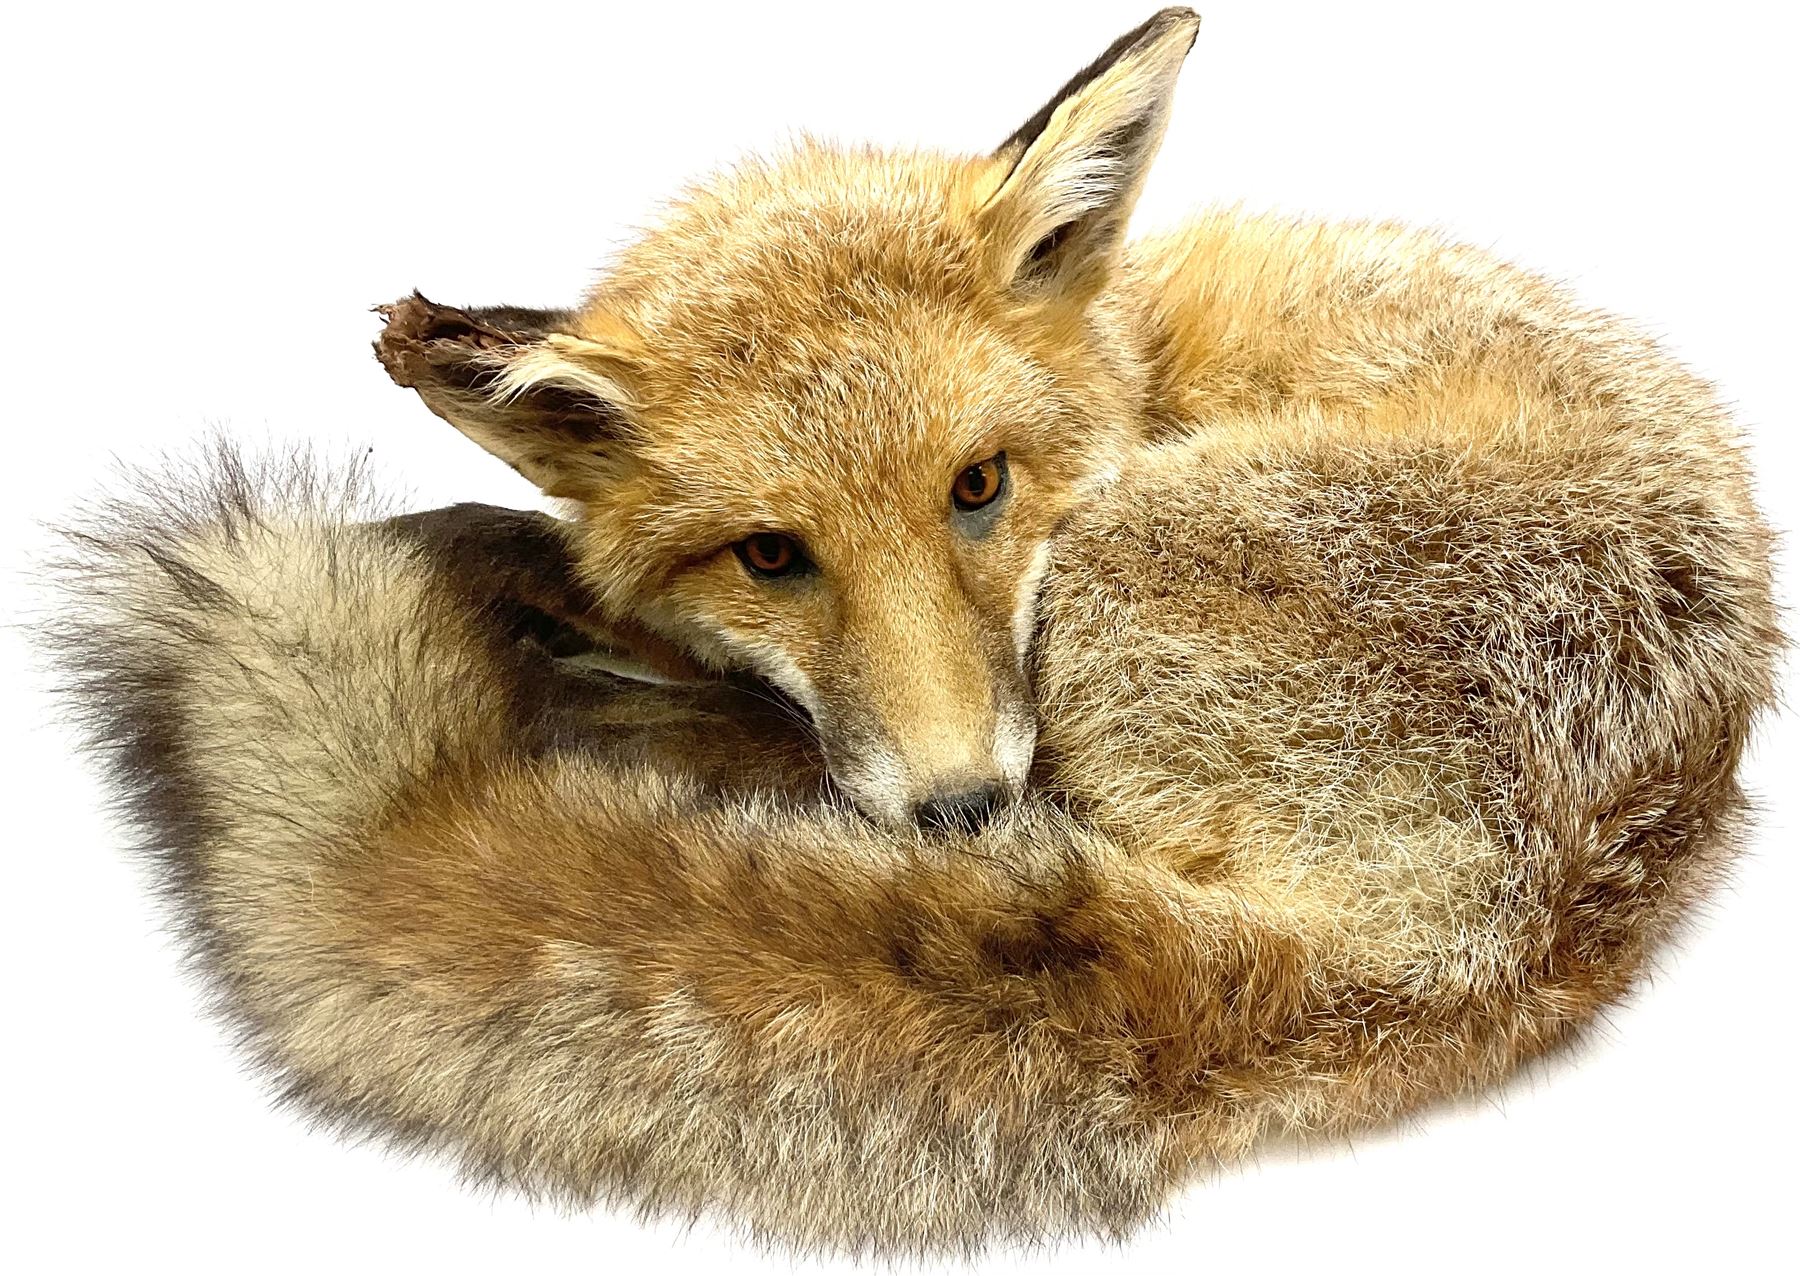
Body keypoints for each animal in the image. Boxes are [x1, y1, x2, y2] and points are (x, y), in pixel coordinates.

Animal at [48, 5, 1778, 1257]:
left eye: (979, 485)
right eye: (770, 555)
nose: (957, 809)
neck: (1146, 355)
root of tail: (1501, 933)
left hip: (1111, 581)